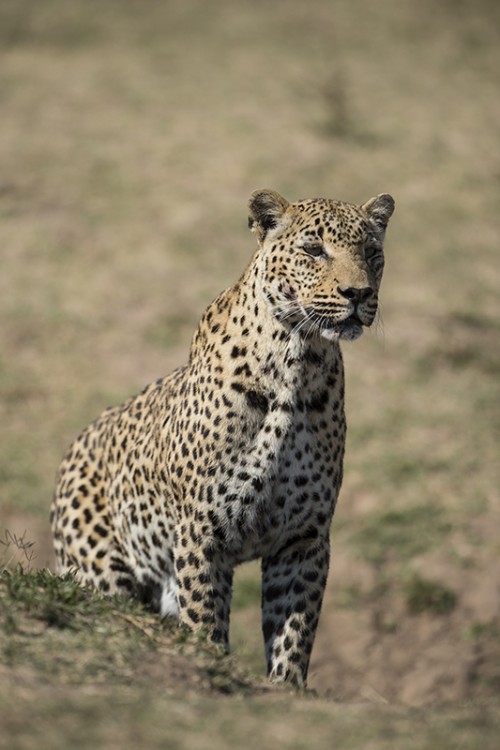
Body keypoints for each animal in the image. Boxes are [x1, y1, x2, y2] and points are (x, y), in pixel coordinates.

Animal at [50, 188, 394, 688]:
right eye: (314, 250)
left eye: (371, 252)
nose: (359, 293)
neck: (297, 362)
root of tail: (77, 443)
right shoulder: (202, 532)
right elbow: (205, 621)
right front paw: (210, 666)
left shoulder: (304, 540)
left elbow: (295, 631)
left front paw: (286, 689)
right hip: (101, 571)